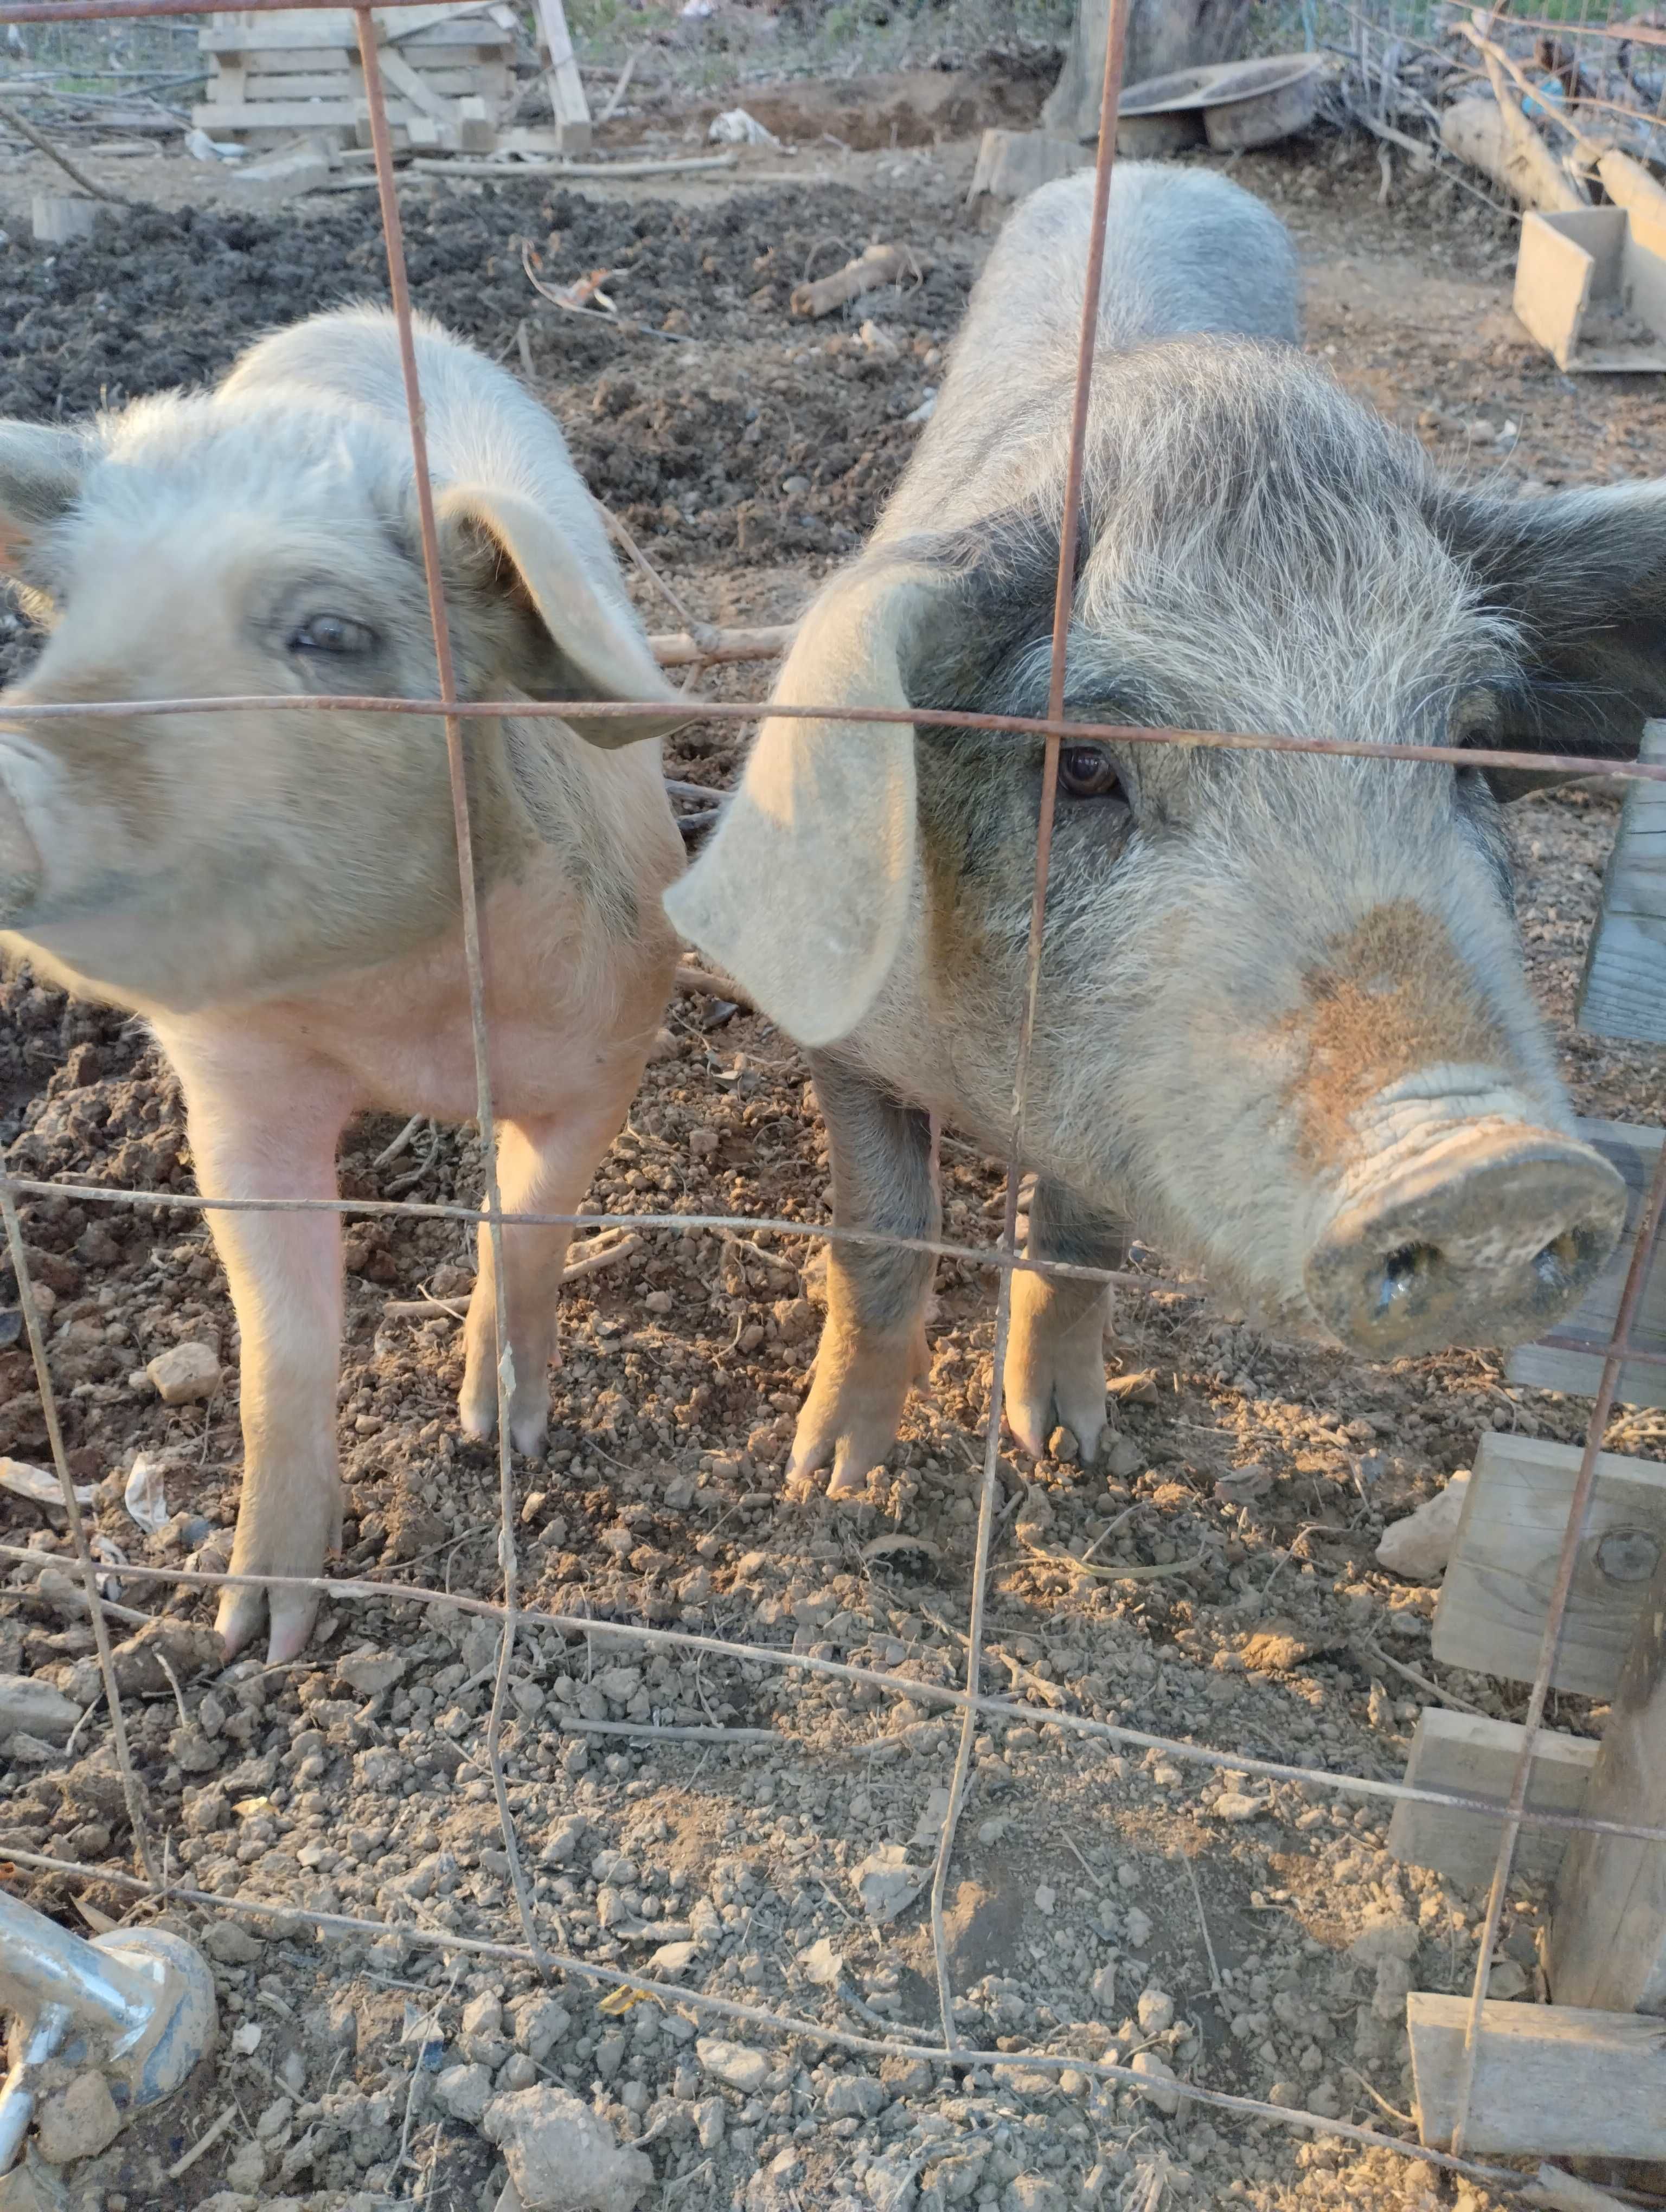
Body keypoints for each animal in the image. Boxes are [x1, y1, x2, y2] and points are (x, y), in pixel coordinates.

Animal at [0, 312, 690, 1663]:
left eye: (329, 636)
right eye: (71, 618)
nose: (12, 757)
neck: (398, 1014)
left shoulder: (615, 1044)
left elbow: (528, 1222)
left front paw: (505, 1434)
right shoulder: (235, 1093)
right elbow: (283, 1343)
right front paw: (256, 1638)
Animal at [663, 163, 1655, 1495]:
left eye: (1466, 738)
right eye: (1084, 764)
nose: (1487, 1168)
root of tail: (1162, 169)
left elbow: (1078, 1246)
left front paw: (1070, 1450)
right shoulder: (838, 1029)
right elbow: (882, 1236)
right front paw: (830, 1481)